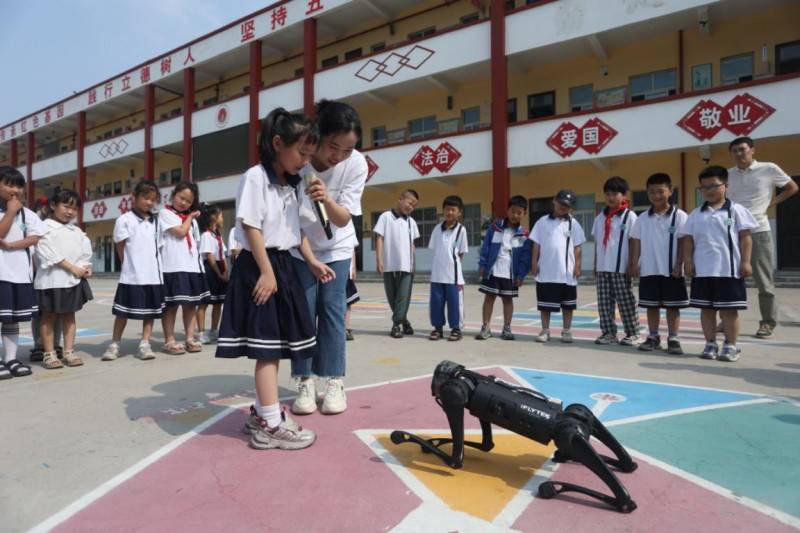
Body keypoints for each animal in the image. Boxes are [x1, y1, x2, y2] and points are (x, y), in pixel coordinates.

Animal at [390, 362, 636, 512]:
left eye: (438, 383)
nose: (434, 389)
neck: (464, 378)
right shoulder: (479, 407)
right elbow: (486, 444)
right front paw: (436, 440)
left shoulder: (455, 395)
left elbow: (455, 460)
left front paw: (406, 436)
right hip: (580, 415)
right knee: (590, 419)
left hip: (568, 434)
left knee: (620, 493)